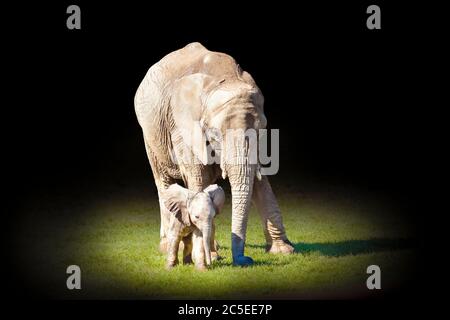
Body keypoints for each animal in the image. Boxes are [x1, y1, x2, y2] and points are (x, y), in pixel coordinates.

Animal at [134, 43, 296, 268]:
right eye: (215, 135)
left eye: (262, 130)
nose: (245, 260)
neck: (223, 77)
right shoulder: (182, 127)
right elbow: (198, 178)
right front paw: (209, 256)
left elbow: (260, 181)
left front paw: (283, 252)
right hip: (150, 134)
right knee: (163, 181)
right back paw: (169, 246)